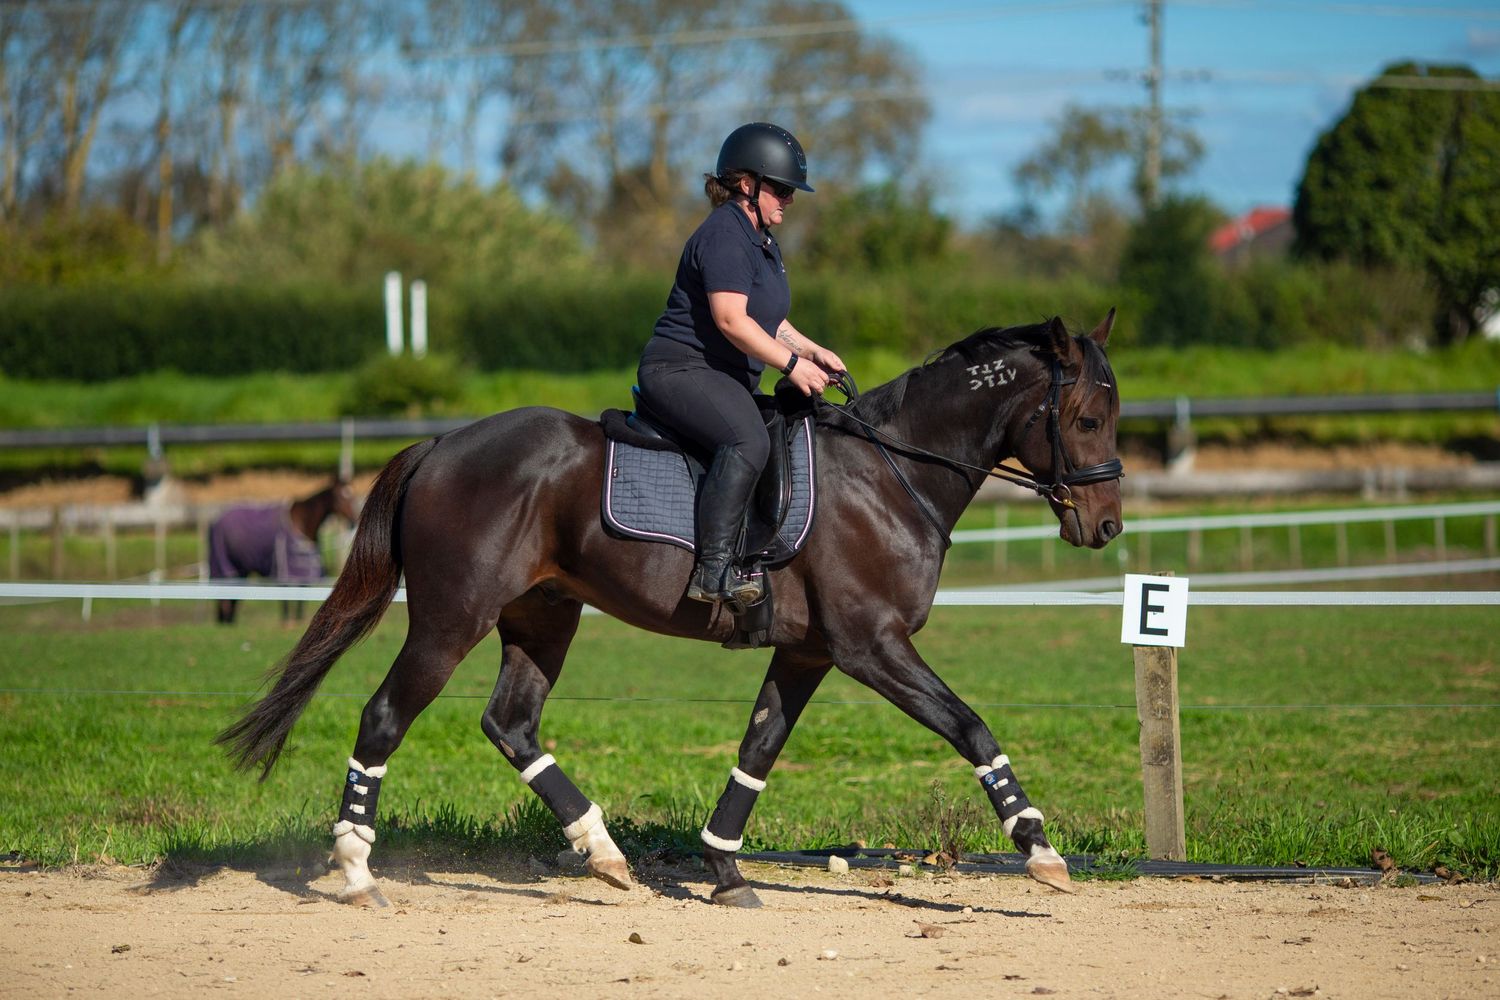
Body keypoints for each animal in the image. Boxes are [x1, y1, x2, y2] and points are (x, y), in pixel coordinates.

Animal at [206, 478, 359, 624]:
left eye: (352, 495)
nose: (353, 520)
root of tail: (216, 521)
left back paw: (229, 620)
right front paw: (286, 619)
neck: (302, 522)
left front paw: (298, 618)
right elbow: (285, 593)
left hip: (240, 568)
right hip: (225, 564)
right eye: (339, 497)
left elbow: (302, 593)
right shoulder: (285, 567)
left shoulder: (303, 567)